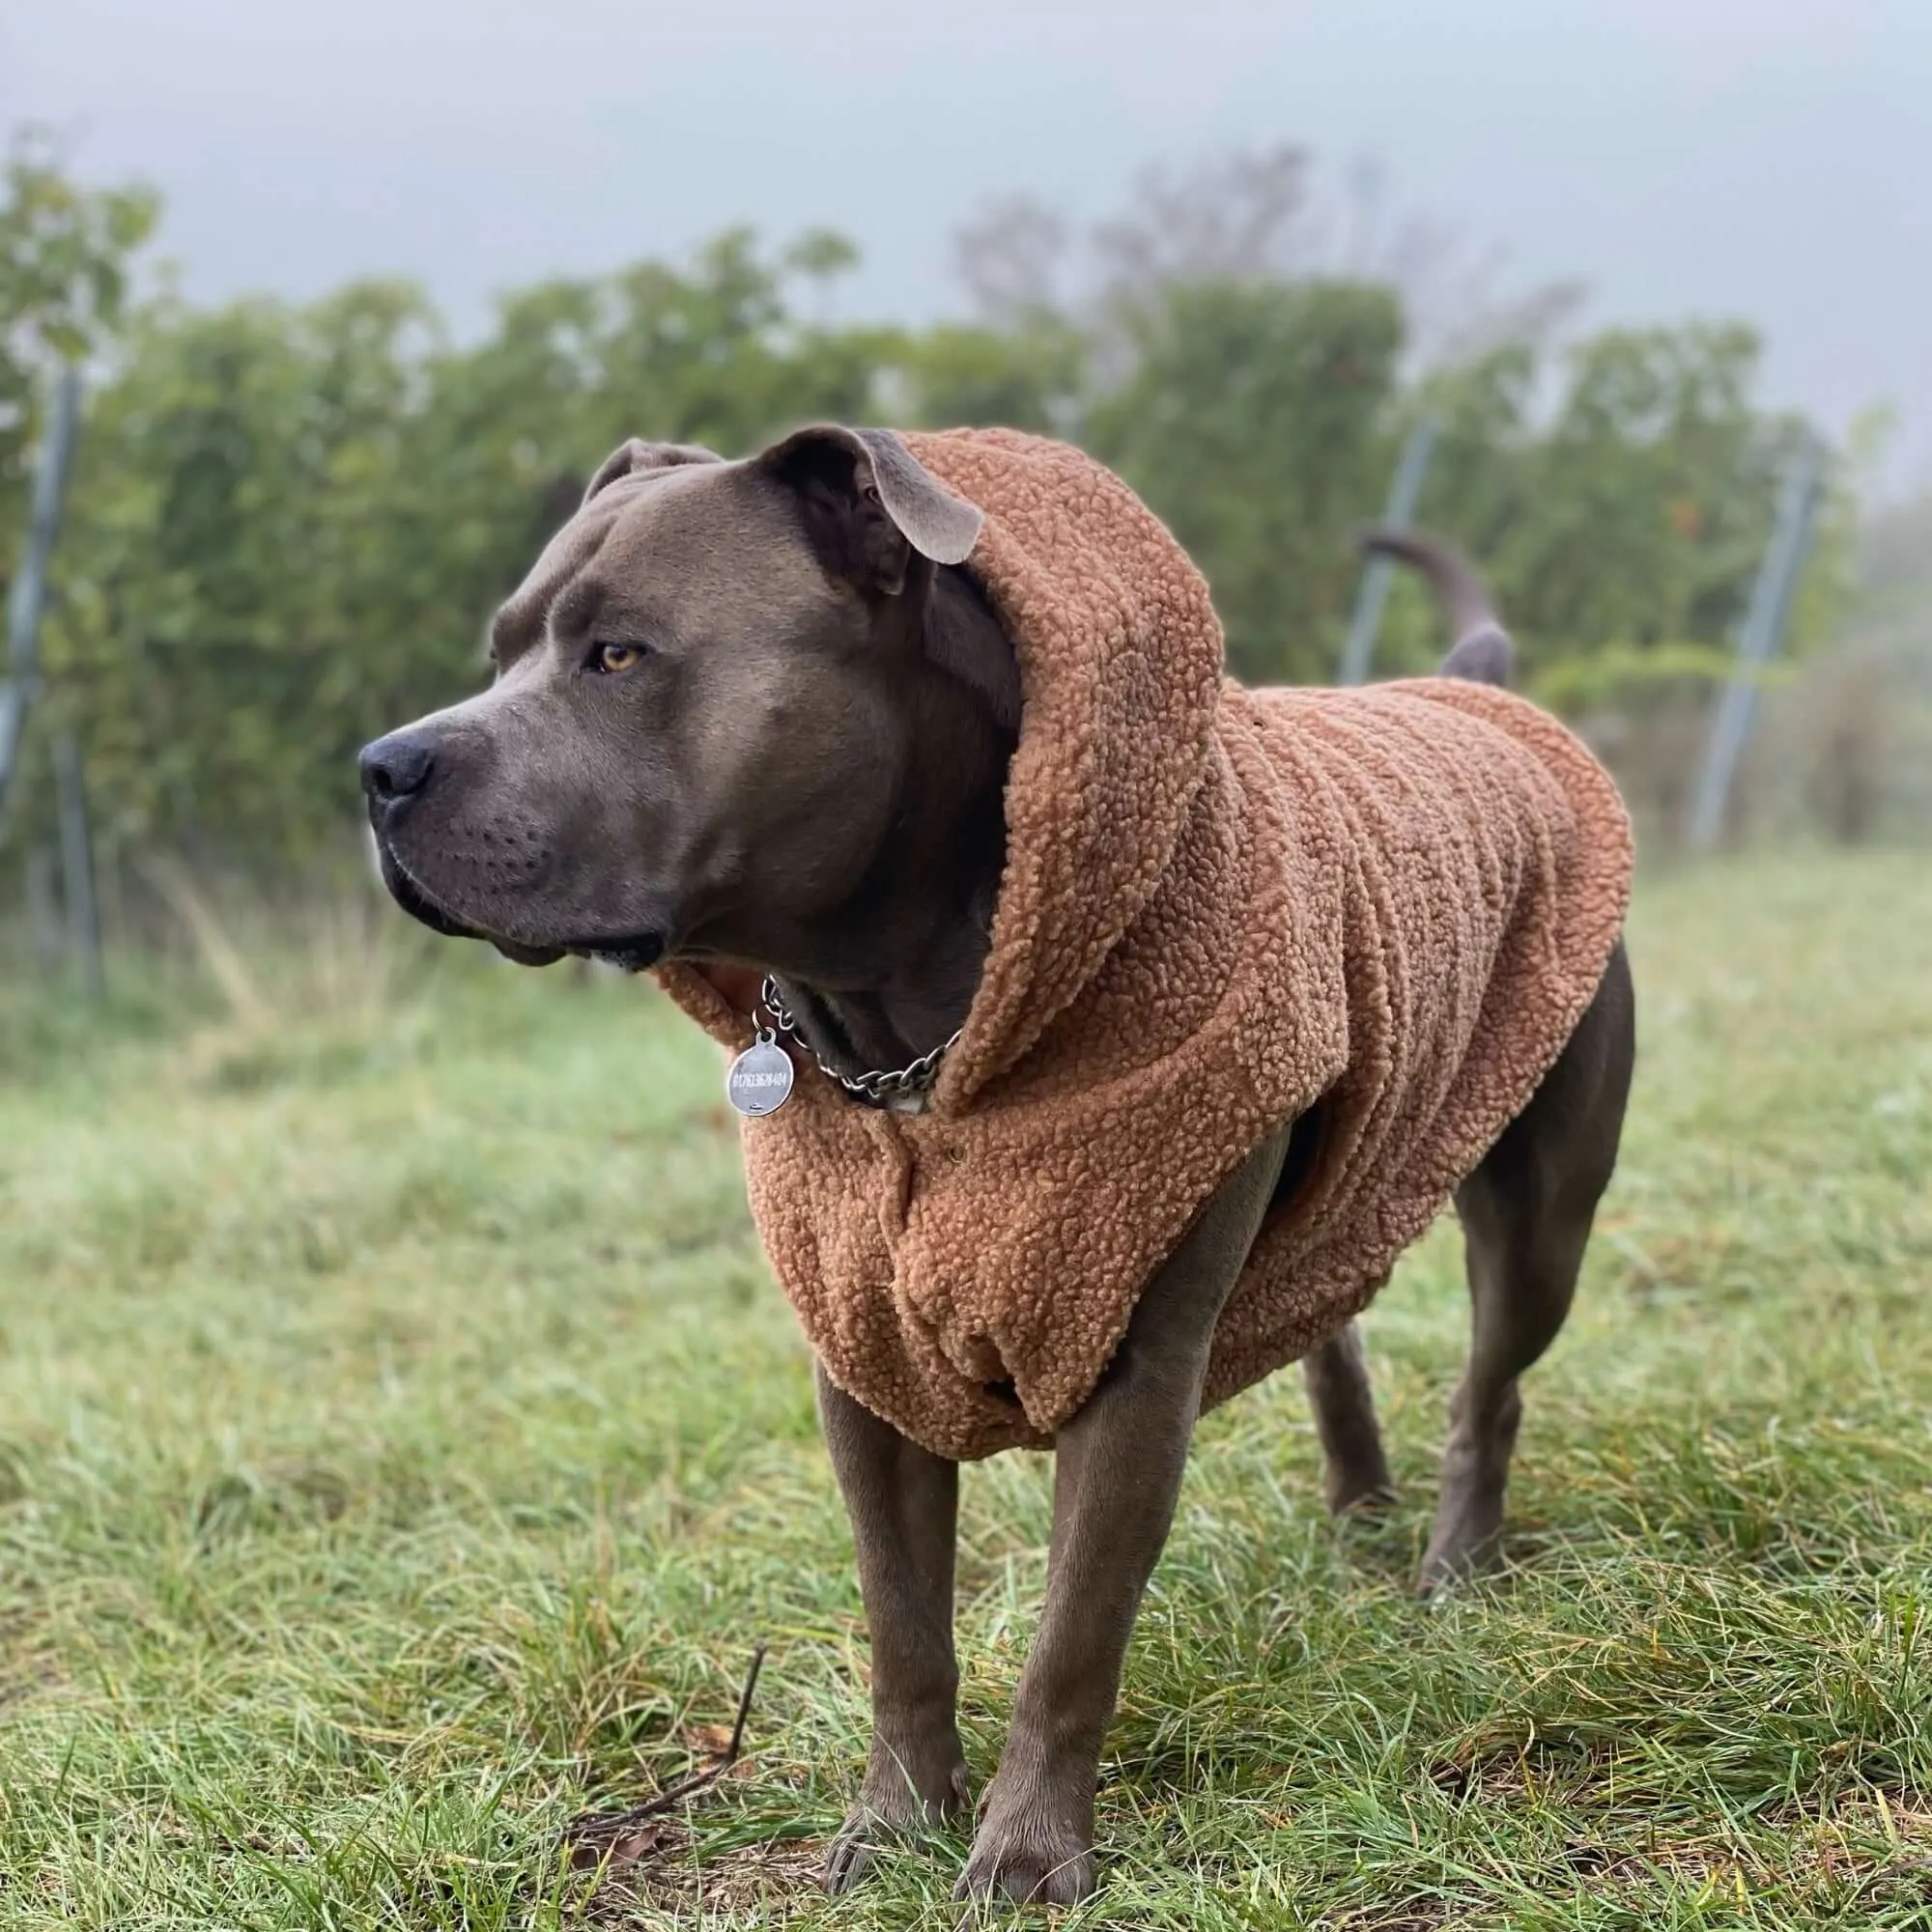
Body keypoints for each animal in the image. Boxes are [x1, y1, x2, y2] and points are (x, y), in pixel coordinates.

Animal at [363, 431, 1631, 1909]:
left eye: (617, 654)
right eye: (503, 647)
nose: (381, 768)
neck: (907, 1042)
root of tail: (1475, 687)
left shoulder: (1135, 1371)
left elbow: (1072, 1640)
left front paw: (1028, 1851)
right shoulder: (859, 1359)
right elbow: (902, 1624)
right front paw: (895, 1822)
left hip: (1539, 1209)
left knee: (1492, 1384)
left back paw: (1454, 1564)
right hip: (1352, 1162)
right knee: (1335, 1319)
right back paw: (1361, 1511)